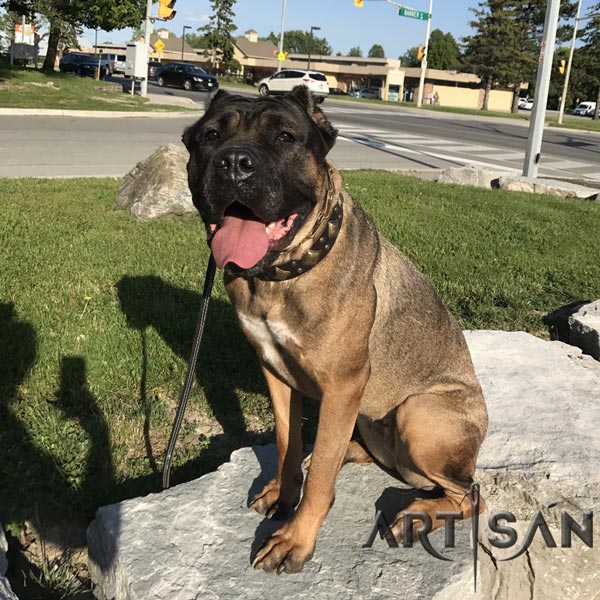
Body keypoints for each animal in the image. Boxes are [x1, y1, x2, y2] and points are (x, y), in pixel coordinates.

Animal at [183, 86, 488, 576]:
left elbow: (320, 482)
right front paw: (282, 492)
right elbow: (287, 442)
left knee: (471, 494)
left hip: (418, 415)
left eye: (285, 136)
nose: (234, 163)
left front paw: (295, 539)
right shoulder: (276, 372)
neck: (280, 275)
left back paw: (415, 516)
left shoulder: (343, 386)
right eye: (210, 136)